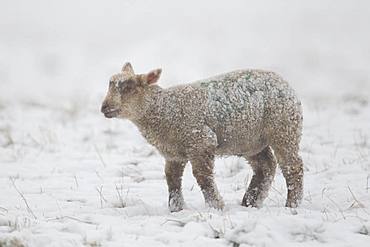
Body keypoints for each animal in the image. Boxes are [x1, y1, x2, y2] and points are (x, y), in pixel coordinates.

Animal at [100, 62, 304, 211]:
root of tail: (286, 84)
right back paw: (250, 202)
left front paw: (215, 206)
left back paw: (292, 204)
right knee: (266, 167)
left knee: (293, 167)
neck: (164, 109)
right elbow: (172, 178)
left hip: (284, 128)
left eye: (129, 88)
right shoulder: (173, 153)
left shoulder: (200, 141)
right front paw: (176, 208)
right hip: (252, 141)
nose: (104, 107)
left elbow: (202, 176)